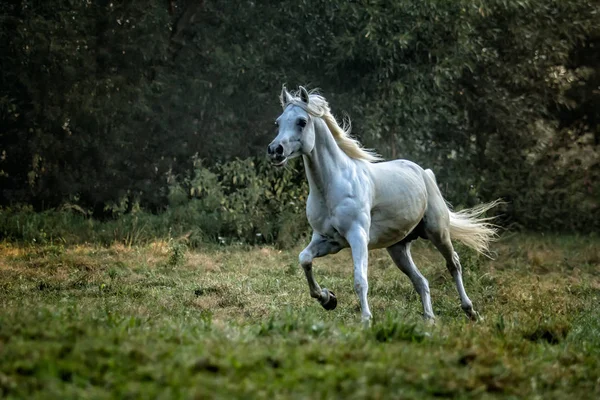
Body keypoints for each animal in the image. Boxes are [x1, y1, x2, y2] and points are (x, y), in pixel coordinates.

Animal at [266, 86, 496, 324]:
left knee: (454, 264)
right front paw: (328, 299)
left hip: (437, 232)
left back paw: (471, 311)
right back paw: (429, 319)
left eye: (302, 121)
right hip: (398, 249)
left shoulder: (357, 237)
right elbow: (304, 260)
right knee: (421, 281)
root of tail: (425, 173)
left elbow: (360, 280)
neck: (331, 185)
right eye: (278, 122)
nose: (275, 150)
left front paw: (365, 320)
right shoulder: (327, 240)